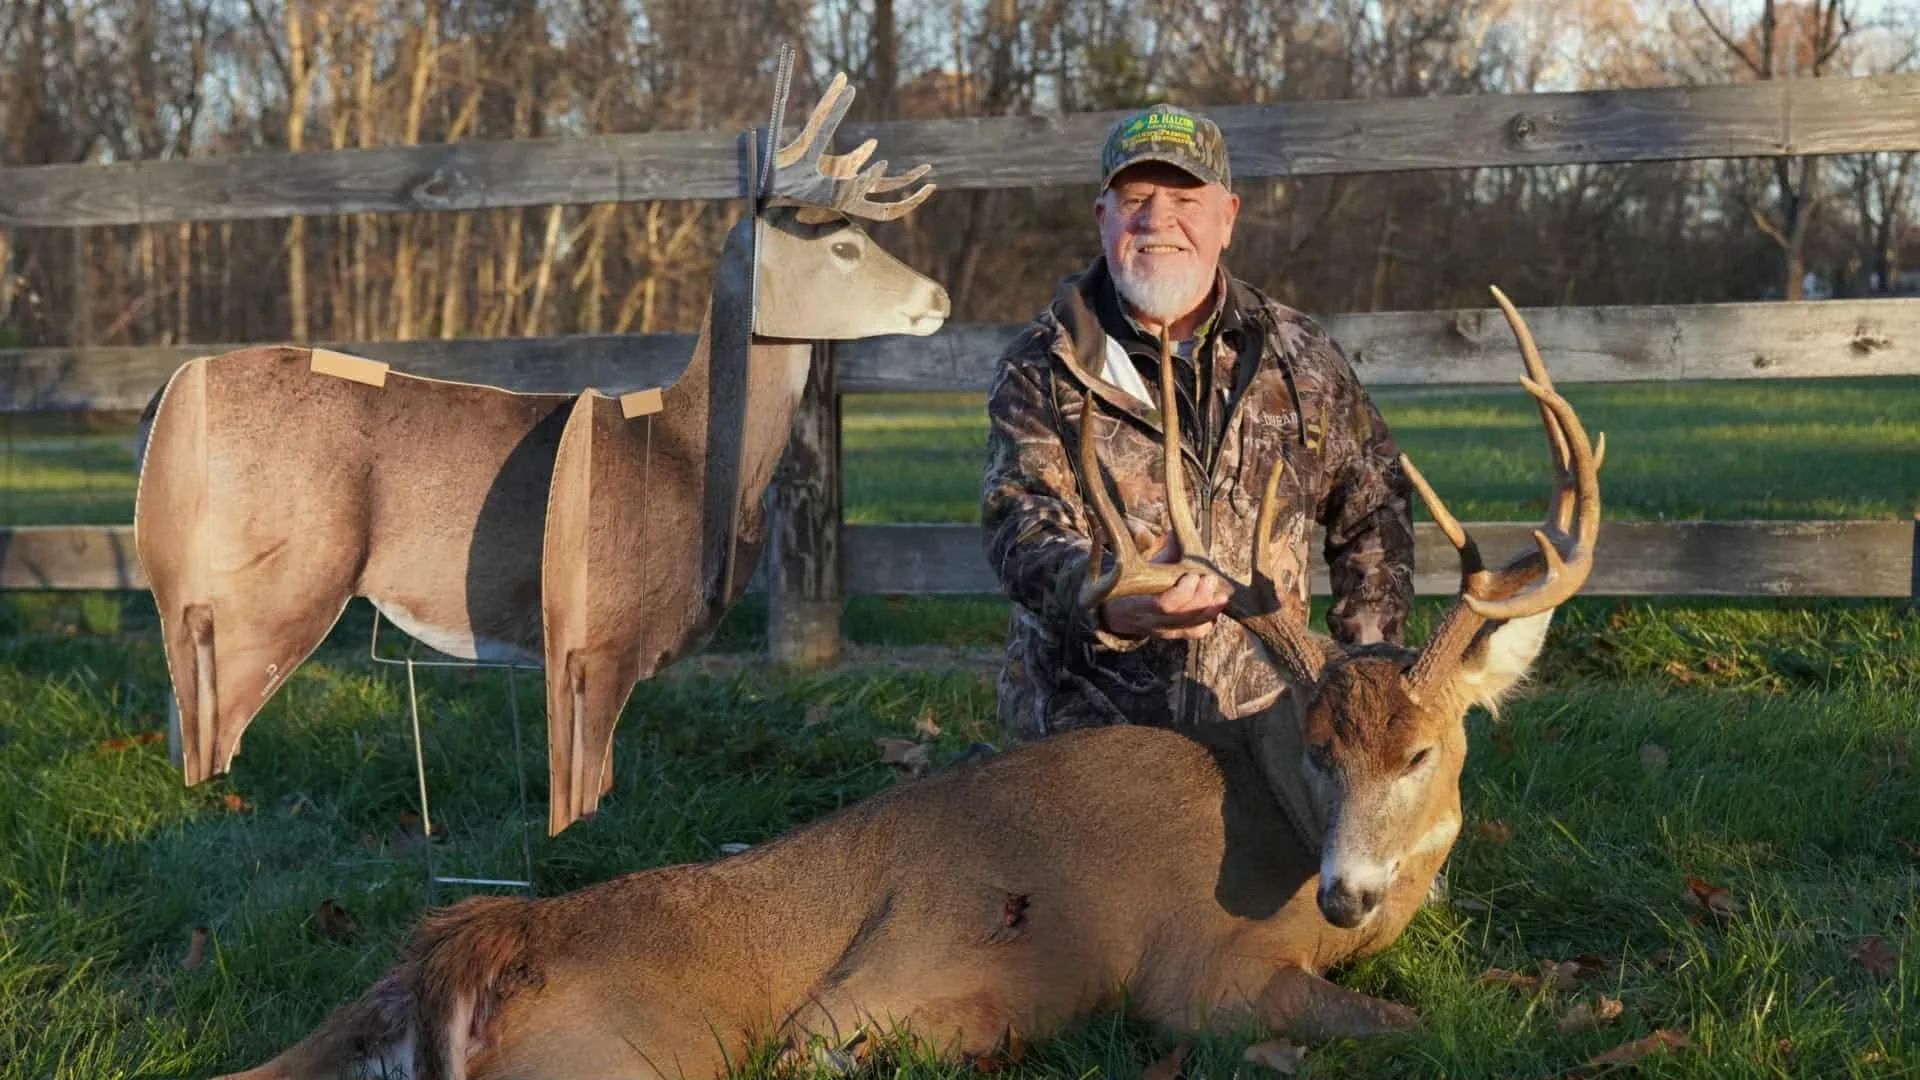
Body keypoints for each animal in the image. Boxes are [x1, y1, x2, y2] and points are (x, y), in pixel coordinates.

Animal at [132, 73, 949, 835]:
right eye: (843, 245)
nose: (939, 298)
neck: (689, 455)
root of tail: (170, 394)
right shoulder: (600, 636)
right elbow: (582, 781)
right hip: (278, 577)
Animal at [212, 287, 1600, 1080]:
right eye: (1319, 748)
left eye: (1422, 750)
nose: (1347, 889)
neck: (1274, 840)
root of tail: (460, 956)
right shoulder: (1189, 973)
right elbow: (1415, 1030)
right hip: (634, 1054)